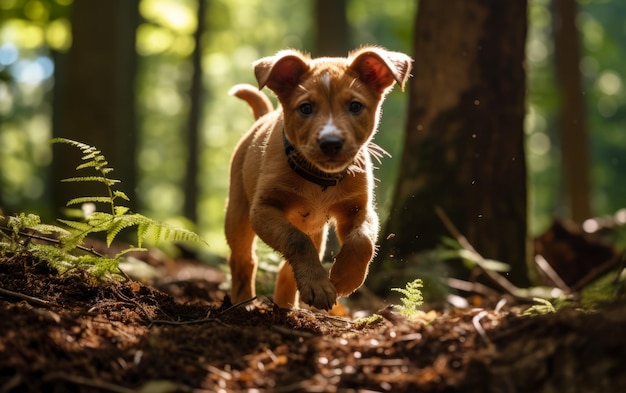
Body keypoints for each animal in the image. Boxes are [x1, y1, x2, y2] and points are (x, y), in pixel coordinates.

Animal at [224, 46, 410, 310]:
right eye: (306, 108)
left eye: (355, 106)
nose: (330, 142)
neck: (320, 179)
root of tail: (261, 119)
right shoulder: (262, 209)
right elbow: (297, 240)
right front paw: (321, 286)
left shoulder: (359, 208)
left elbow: (362, 240)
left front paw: (344, 278)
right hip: (238, 213)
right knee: (243, 260)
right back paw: (244, 302)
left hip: (316, 229)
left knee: (286, 268)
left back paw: (286, 307)